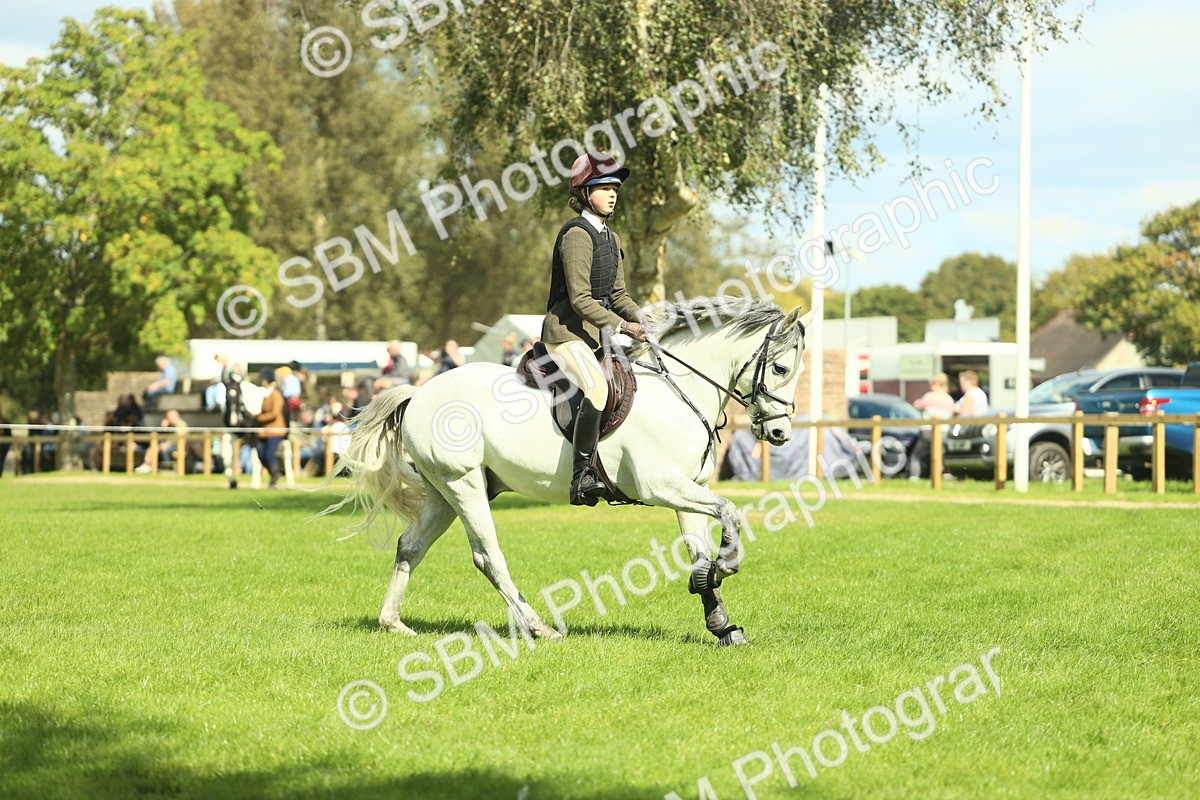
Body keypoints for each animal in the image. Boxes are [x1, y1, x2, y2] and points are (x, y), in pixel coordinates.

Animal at [325, 298, 814, 646]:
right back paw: (539, 628)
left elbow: (698, 548)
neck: (676, 392)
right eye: (781, 368)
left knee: (411, 547)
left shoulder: (688, 489)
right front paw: (724, 566)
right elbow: (730, 512)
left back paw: (393, 623)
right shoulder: (661, 486)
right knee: (487, 556)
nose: (779, 433)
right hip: (462, 485)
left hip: (446, 491)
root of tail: (420, 393)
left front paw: (719, 619)